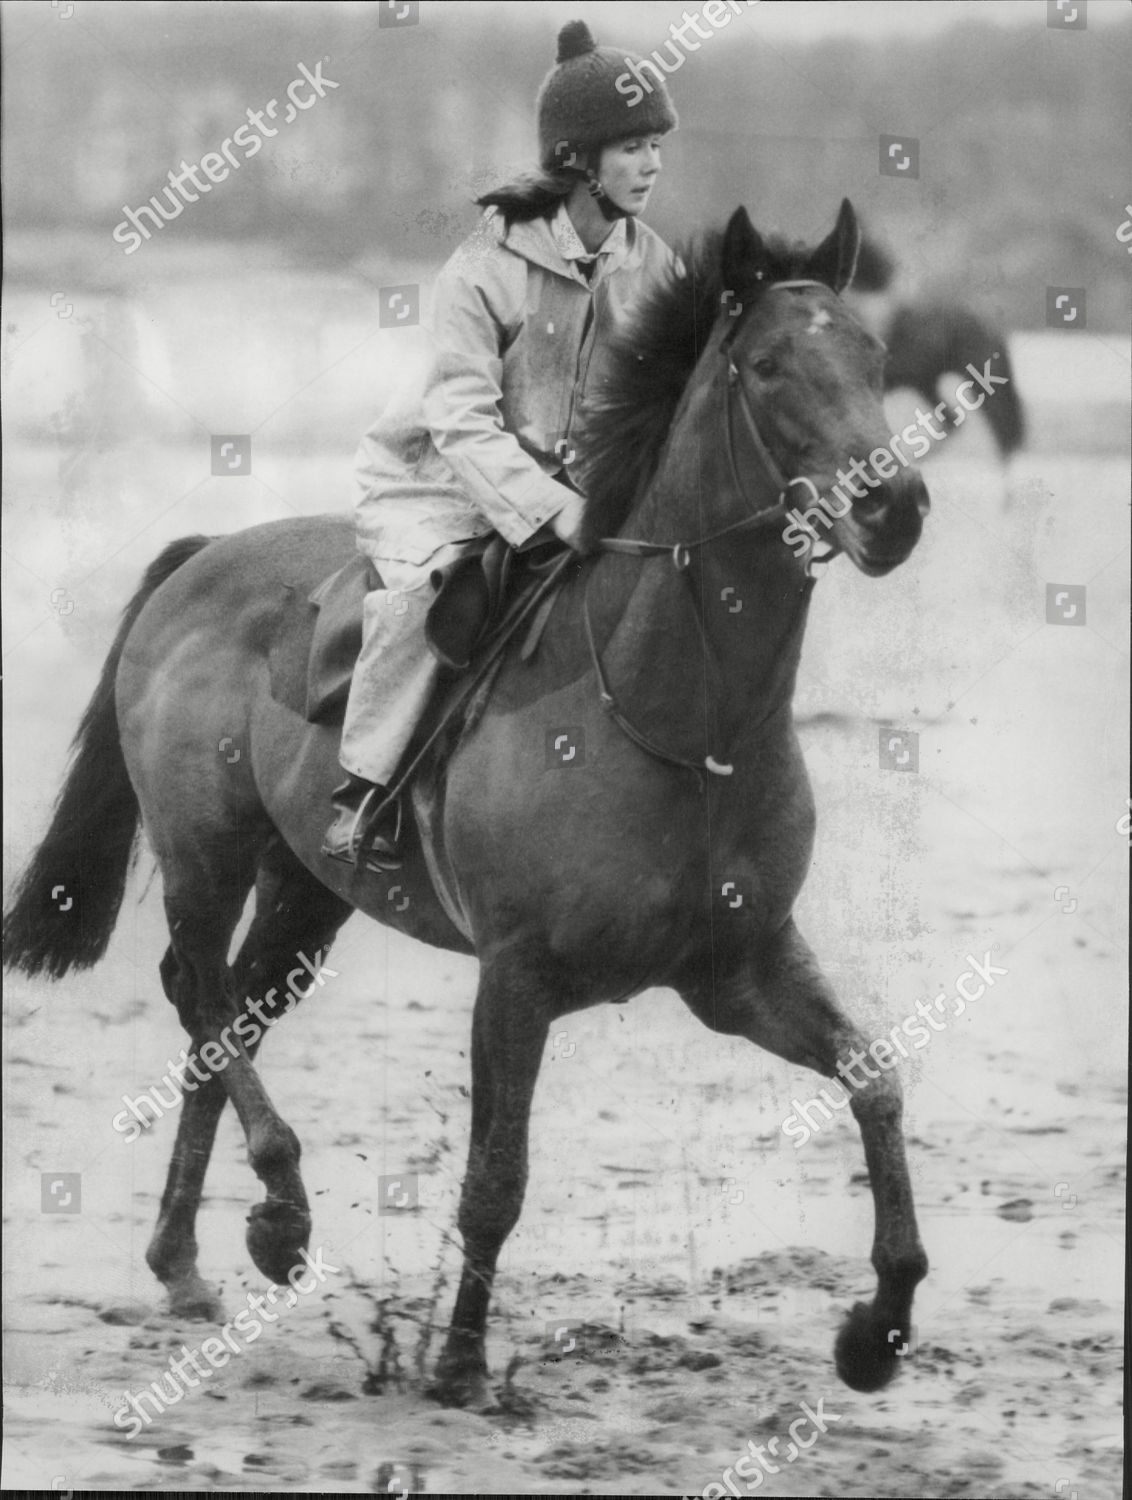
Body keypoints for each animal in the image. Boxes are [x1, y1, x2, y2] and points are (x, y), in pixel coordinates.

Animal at [4, 196, 929, 1404]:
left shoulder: (737, 968)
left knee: (229, 1014)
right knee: (198, 994)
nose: (896, 507)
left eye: (873, 358)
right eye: (770, 367)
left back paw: (185, 1258)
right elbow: (497, 1175)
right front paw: (456, 1363)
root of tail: (202, 562)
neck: (686, 725)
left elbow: (874, 1080)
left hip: (308, 889)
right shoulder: (517, 977)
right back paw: (278, 1212)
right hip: (207, 855)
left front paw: (879, 1326)